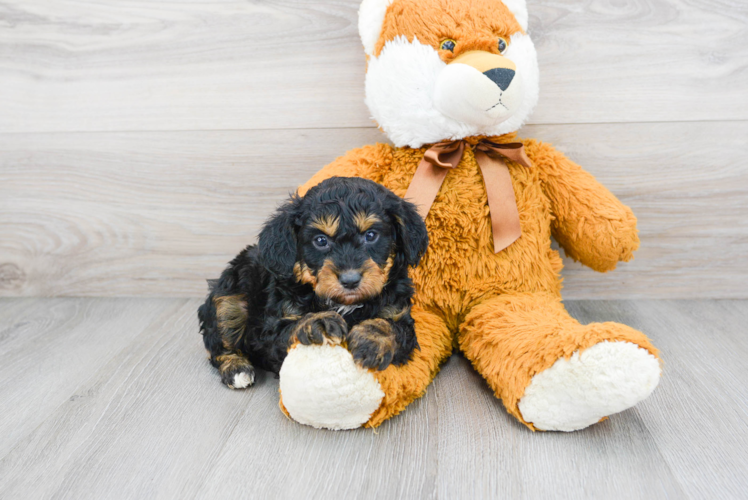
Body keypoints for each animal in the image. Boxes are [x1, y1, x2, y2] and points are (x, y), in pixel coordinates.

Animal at [199, 178, 430, 388]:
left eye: (371, 235)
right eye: (320, 241)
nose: (350, 280)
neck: (344, 304)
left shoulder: (398, 313)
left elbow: (393, 327)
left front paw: (371, 339)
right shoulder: (272, 328)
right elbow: (287, 330)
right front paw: (318, 322)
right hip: (230, 298)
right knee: (220, 339)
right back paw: (237, 369)